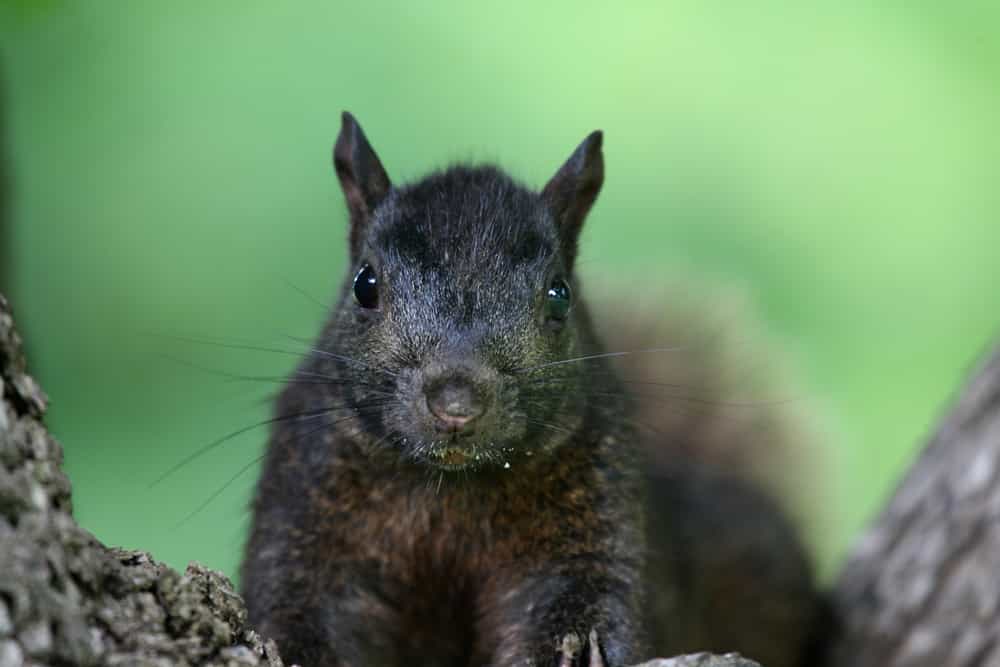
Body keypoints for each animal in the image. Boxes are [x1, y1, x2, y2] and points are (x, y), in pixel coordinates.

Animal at [240, 113, 821, 666]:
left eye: (559, 295)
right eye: (365, 284)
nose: (456, 405)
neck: (450, 491)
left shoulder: (597, 511)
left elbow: (584, 601)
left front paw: (577, 649)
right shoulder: (303, 502)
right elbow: (300, 601)